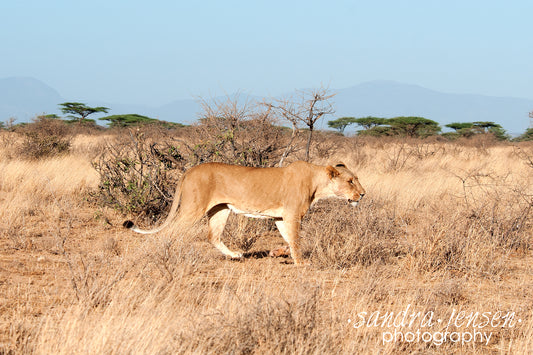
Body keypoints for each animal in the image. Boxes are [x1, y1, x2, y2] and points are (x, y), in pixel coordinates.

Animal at [123, 161, 366, 264]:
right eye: (350, 181)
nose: (363, 194)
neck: (317, 183)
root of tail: (189, 170)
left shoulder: (279, 217)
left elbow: (288, 239)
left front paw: (279, 253)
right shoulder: (292, 214)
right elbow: (296, 239)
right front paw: (301, 263)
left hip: (220, 209)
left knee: (213, 236)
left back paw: (235, 255)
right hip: (193, 208)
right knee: (169, 233)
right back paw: (161, 256)